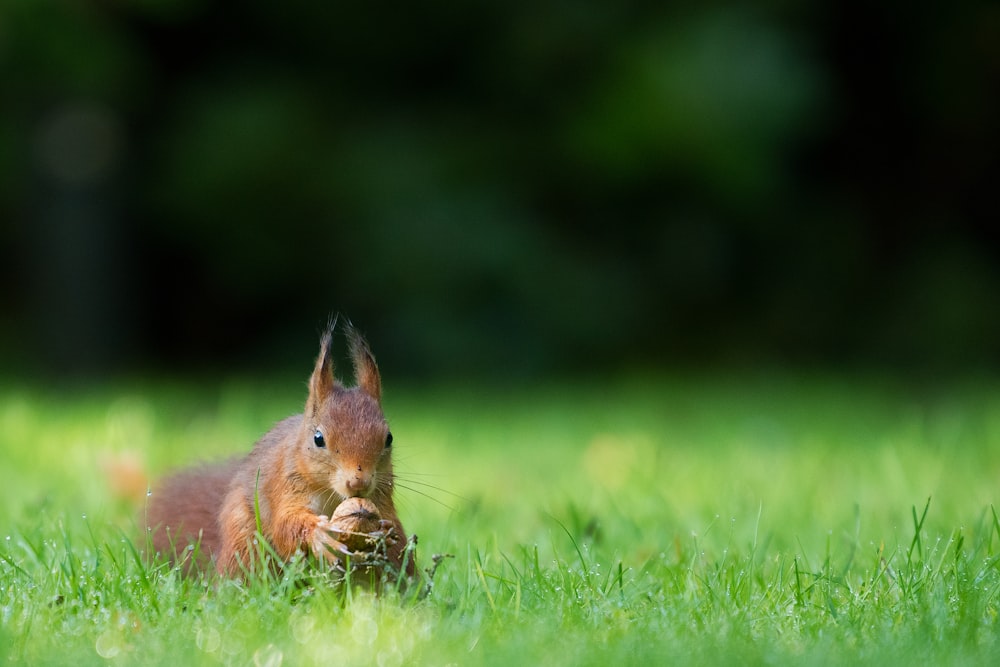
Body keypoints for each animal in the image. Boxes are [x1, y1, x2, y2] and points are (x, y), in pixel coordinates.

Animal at [143, 320, 412, 580]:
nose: (358, 482)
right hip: (244, 544)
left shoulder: (381, 493)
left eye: (388, 438)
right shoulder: (283, 483)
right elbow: (285, 523)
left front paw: (385, 530)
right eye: (318, 439)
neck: (332, 493)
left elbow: (389, 518)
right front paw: (318, 534)